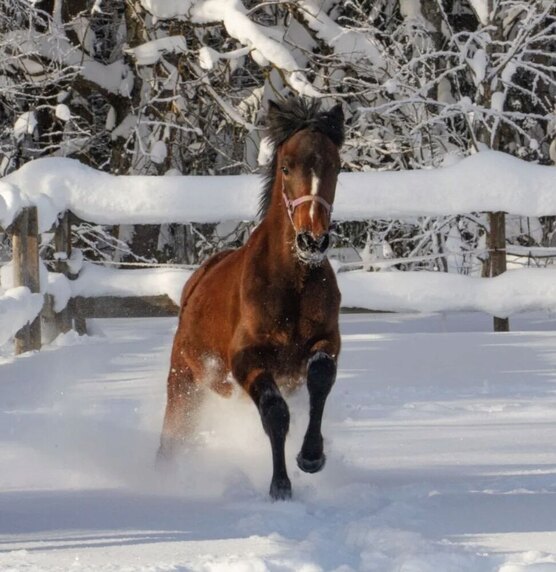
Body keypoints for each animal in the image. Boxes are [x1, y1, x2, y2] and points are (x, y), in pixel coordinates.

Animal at [157, 98, 344, 500]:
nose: (312, 241)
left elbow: (320, 379)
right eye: (286, 167)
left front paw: (311, 456)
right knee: (172, 435)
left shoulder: (326, 342)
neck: (292, 284)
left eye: (336, 166)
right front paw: (280, 486)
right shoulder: (244, 359)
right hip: (184, 381)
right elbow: (275, 413)